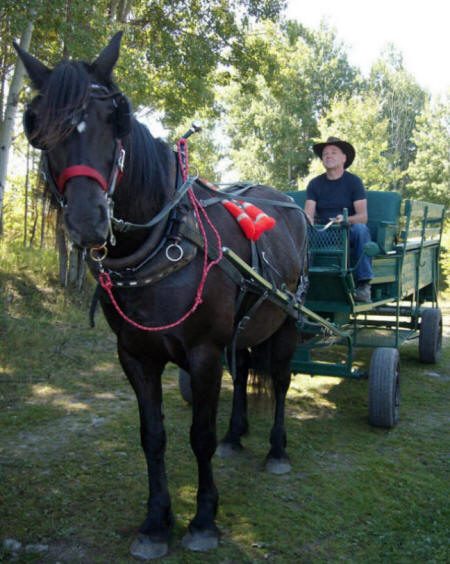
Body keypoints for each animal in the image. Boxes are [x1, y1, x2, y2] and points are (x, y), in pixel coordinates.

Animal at [14, 33, 310, 556]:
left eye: (116, 119)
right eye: (40, 128)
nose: (88, 221)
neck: (162, 242)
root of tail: (284, 200)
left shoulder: (204, 353)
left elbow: (199, 436)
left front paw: (204, 520)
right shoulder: (134, 355)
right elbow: (152, 436)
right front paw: (156, 521)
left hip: (288, 321)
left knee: (278, 381)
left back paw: (276, 449)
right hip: (246, 328)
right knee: (246, 370)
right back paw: (238, 434)